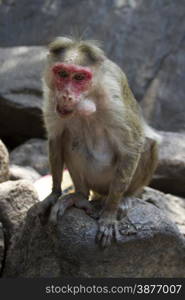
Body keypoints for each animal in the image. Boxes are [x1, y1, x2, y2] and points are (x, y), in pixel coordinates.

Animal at [39, 36, 159, 247]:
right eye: (63, 74)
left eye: (79, 78)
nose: (66, 95)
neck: (90, 95)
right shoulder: (51, 97)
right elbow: (56, 138)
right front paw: (54, 194)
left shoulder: (114, 98)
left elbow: (132, 147)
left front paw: (109, 213)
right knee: (68, 140)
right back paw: (80, 196)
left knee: (147, 144)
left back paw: (126, 198)